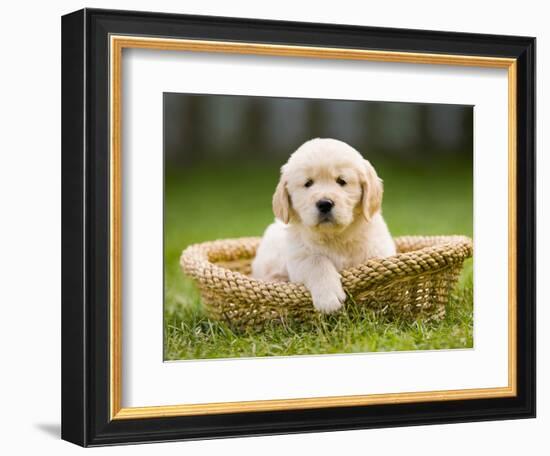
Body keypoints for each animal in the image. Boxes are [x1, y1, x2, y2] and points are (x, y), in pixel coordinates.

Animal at [252, 138, 398, 314]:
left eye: (341, 181)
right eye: (308, 183)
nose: (324, 203)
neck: (335, 237)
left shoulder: (379, 249)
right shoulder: (297, 257)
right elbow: (316, 261)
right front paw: (328, 298)